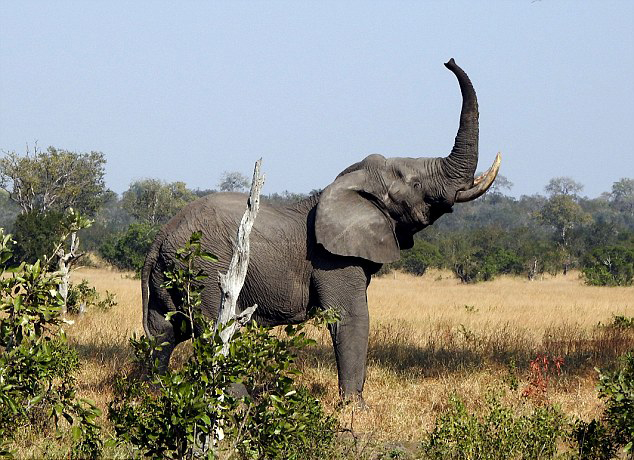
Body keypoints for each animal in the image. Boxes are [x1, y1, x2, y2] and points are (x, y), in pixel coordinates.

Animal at [142, 59, 498, 404]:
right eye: (415, 185)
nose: (448, 61)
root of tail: (161, 237)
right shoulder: (332, 259)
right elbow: (351, 318)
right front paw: (355, 409)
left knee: (164, 332)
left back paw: (155, 395)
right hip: (206, 269)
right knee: (215, 330)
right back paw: (241, 405)